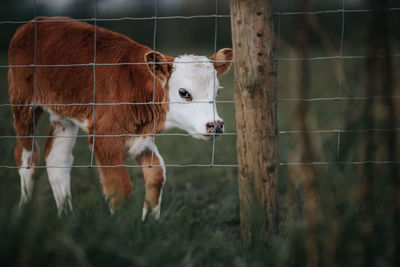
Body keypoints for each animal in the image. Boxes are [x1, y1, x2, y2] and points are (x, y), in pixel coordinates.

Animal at [7, 16, 233, 219]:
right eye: (184, 92)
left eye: (217, 91)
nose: (216, 125)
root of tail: (35, 22)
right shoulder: (105, 137)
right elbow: (120, 187)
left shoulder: (140, 136)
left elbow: (156, 174)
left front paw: (148, 224)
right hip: (23, 104)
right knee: (27, 157)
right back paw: (24, 212)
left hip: (63, 115)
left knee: (57, 158)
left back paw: (66, 216)